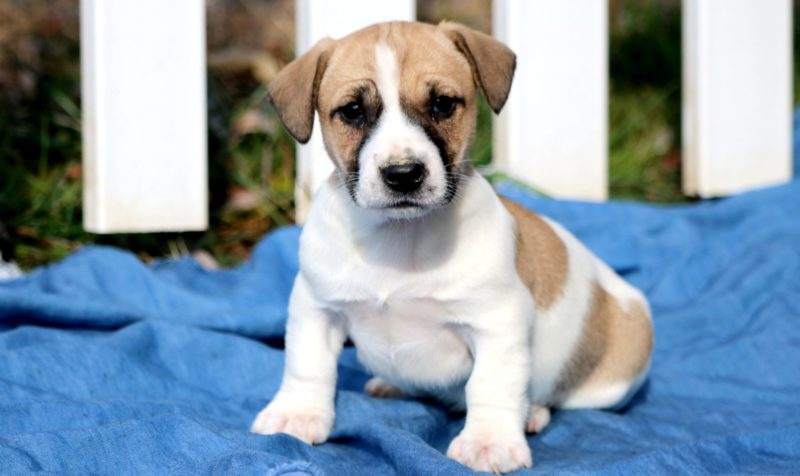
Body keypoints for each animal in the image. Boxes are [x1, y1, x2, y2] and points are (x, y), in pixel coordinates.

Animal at [252, 21, 656, 472]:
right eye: (353, 111)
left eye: (443, 105)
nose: (403, 174)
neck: (400, 237)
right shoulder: (316, 306)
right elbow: (307, 365)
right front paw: (297, 414)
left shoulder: (497, 322)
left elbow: (491, 385)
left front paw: (489, 441)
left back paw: (531, 412)